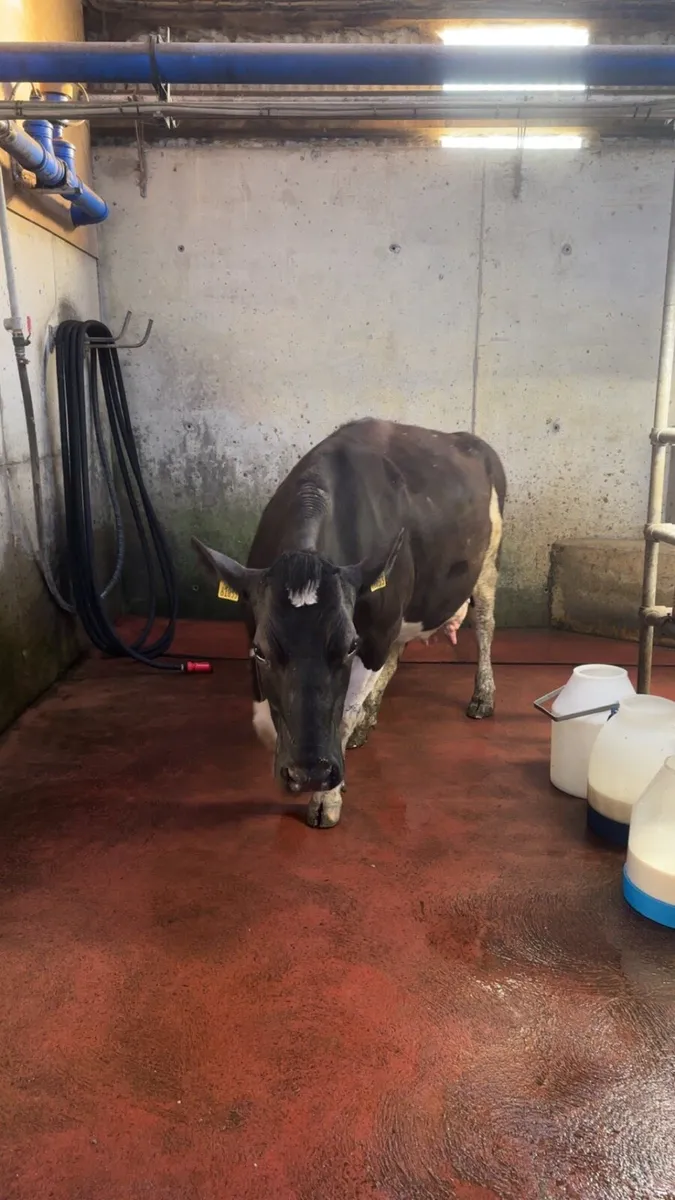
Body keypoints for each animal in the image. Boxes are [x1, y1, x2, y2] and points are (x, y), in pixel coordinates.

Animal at [193, 418, 506, 829]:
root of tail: (469, 439)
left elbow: (343, 715)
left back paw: (483, 696)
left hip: (486, 564)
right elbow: (264, 721)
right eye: (260, 650)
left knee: (485, 624)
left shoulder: (375, 634)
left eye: (349, 646)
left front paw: (327, 797)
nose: (310, 772)